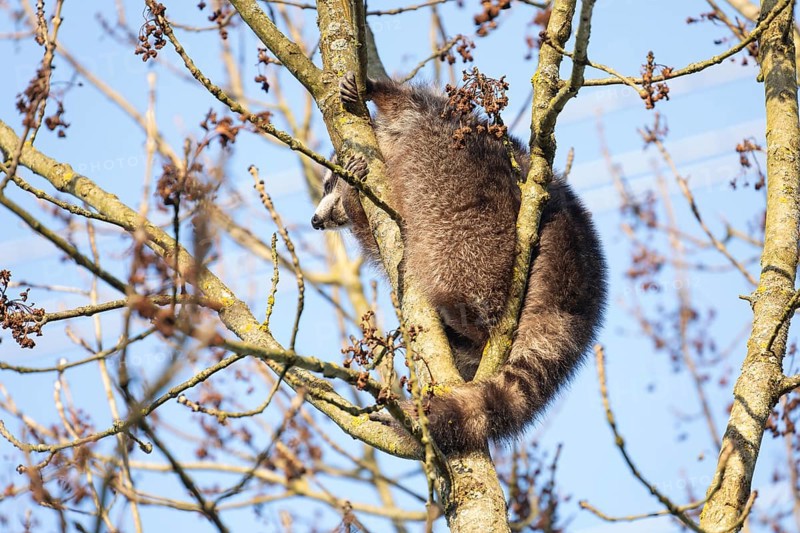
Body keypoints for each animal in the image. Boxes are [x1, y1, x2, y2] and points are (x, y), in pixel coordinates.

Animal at [311, 72, 607, 454]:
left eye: (327, 183)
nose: (315, 221)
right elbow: (377, 234)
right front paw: (352, 197)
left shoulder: (436, 120)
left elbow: (410, 103)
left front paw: (375, 88)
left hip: (482, 232)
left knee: (454, 261)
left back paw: (468, 319)